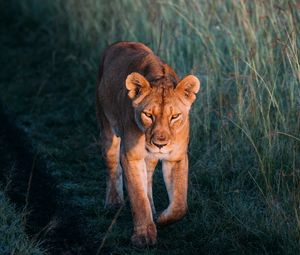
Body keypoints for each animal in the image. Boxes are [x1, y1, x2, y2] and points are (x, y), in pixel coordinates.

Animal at [96, 41, 199, 247]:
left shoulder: (176, 158)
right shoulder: (131, 157)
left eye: (175, 116)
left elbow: (179, 204)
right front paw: (143, 235)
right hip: (107, 127)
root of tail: (118, 43)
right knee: (112, 166)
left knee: (149, 180)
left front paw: (161, 219)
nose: (160, 144)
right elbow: (138, 197)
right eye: (148, 115)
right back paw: (113, 202)